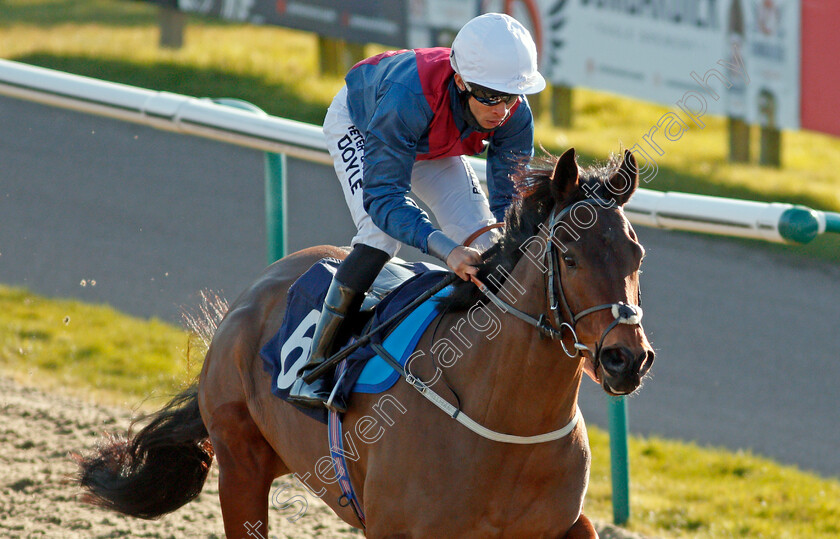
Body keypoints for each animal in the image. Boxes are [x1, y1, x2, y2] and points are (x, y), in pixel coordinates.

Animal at [77, 148, 656, 539]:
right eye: (570, 257)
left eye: (637, 254)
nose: (626, 358)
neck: (506, 421)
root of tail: (253, 292)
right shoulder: (396, 527)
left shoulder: (558, 525)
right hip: (242, 464)